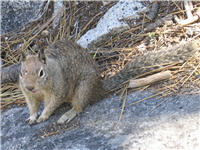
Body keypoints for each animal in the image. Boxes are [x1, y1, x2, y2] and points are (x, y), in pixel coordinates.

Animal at [18, 38, 198, 124]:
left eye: (41, 73)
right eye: (22, 72)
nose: (30, 86)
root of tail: (99, 86)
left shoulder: (59, 88)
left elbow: (52, 103)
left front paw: (43, 116)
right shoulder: (29, 95)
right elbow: (33, 106)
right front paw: (32, 117)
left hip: (83, 88)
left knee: (79, 106)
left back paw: (68, 114)